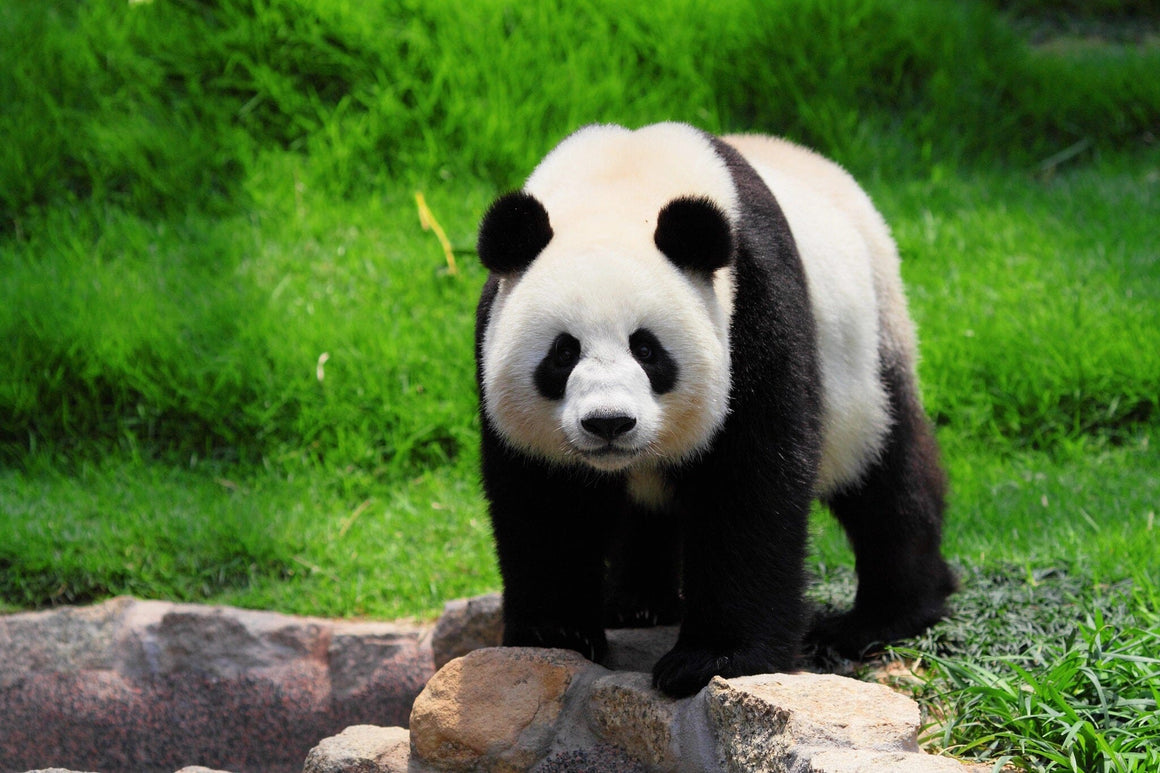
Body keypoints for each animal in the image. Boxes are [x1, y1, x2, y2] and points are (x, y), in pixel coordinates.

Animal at [474, 122, 956, 698]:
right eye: (563, 353)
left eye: (647, 349)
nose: (609, 423)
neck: (620, 183)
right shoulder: (492, 334)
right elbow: (544, 497)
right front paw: (556, 633)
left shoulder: (754, 305)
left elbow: (749, 481)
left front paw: (710, 660)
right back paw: (637, 604)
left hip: (869, 347)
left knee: (887, 473)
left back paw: (882, 618)